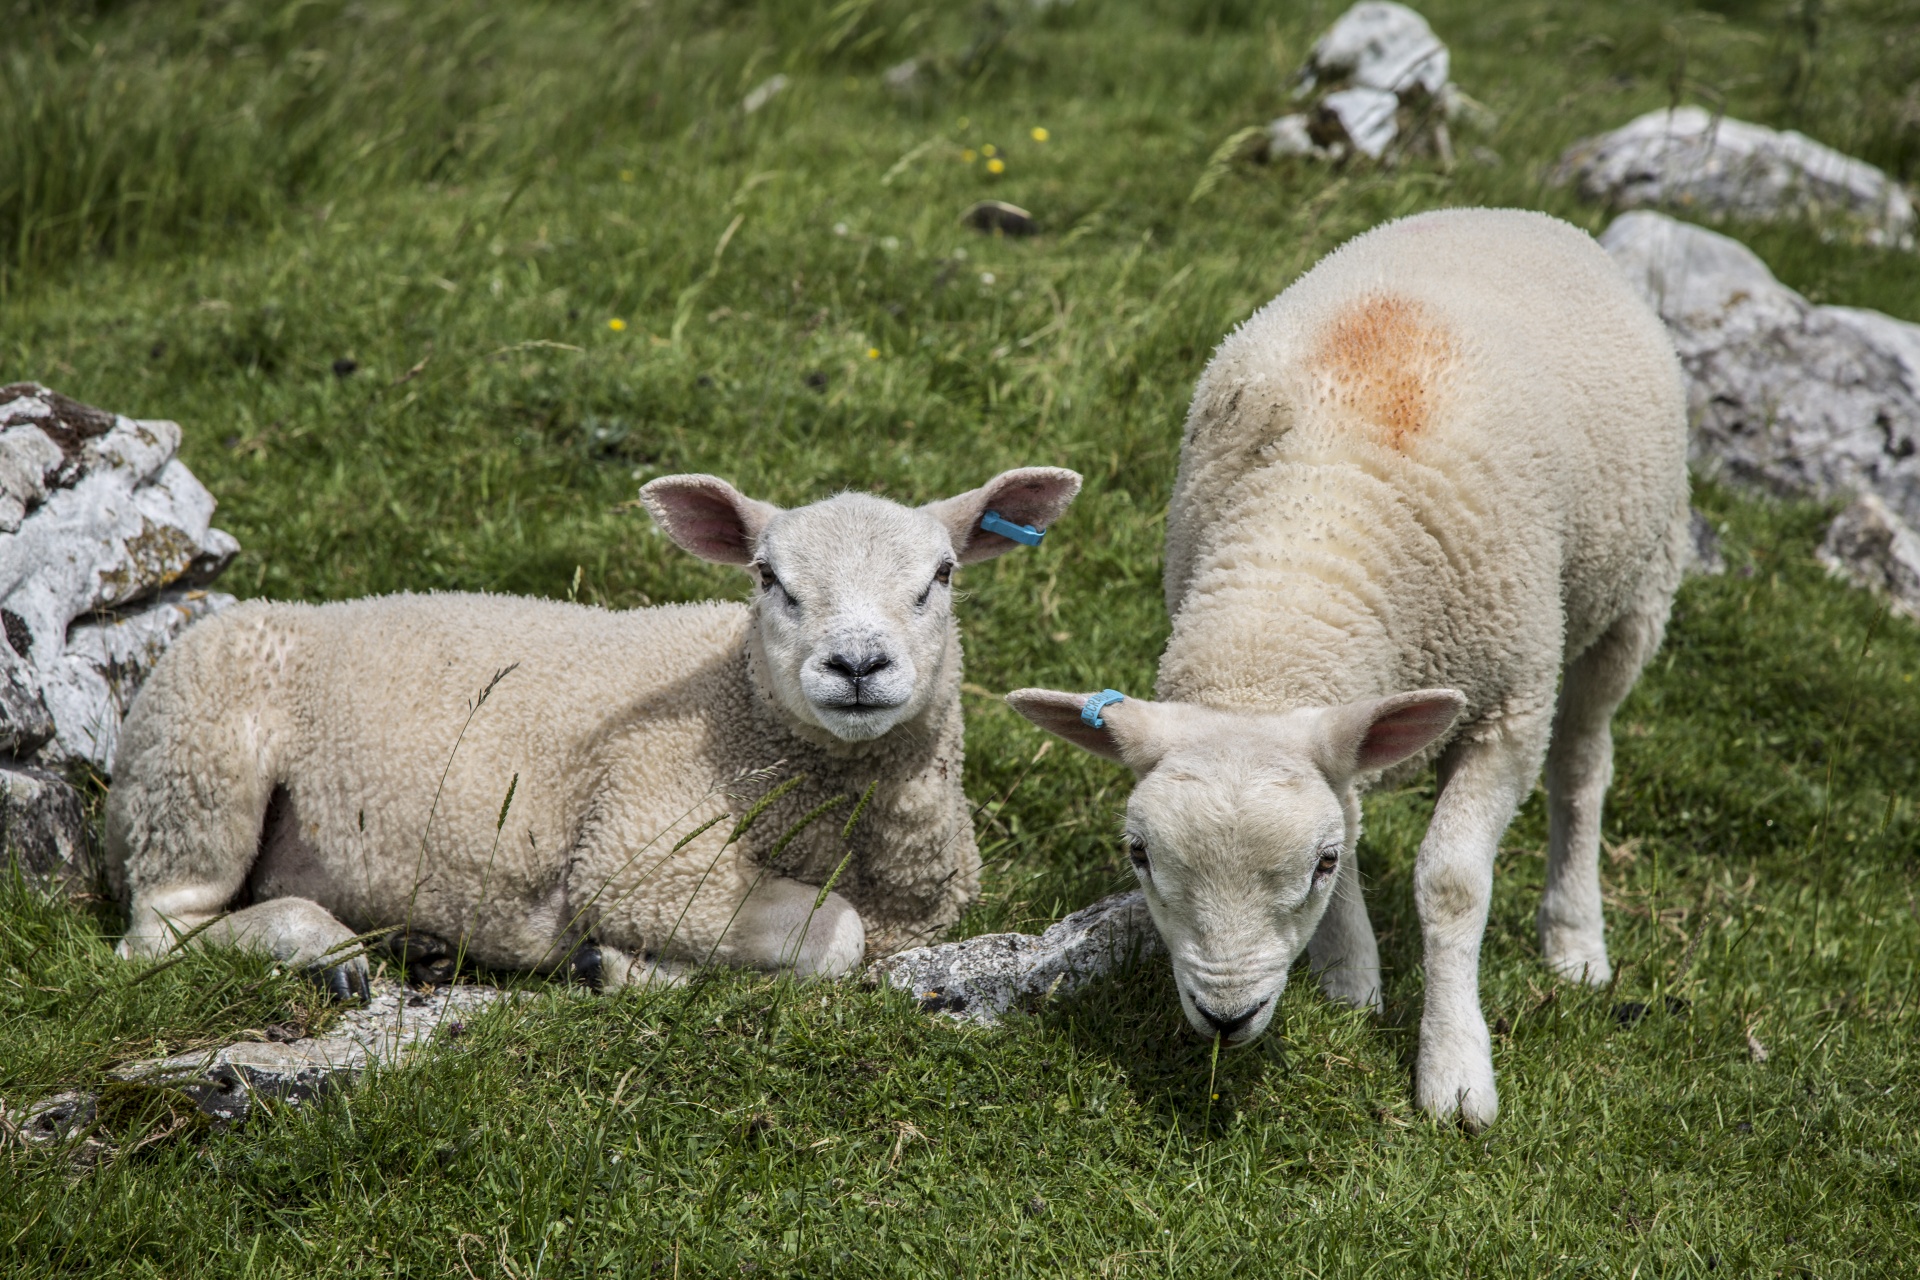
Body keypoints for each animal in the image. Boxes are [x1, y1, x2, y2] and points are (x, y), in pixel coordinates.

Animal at [105, 466, 1082, 997]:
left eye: (942, 575)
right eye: (768, 578)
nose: (856, 665)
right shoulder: (641, 855)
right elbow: (833, 934)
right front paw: (613, 964)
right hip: (194, 762)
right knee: (160, 929)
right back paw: (322, 948)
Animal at [1013, 210, 1689, 1128]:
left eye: (1318, 864)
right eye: (1139, 856)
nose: (1226, 1018)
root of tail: (1500, 213)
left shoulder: (1511, 710)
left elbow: (1452, 883)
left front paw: (1455, 1070)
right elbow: (1357, 815)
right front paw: (1350, 983)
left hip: (1633, 596)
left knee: (1582, 763)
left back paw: (1574, 937)